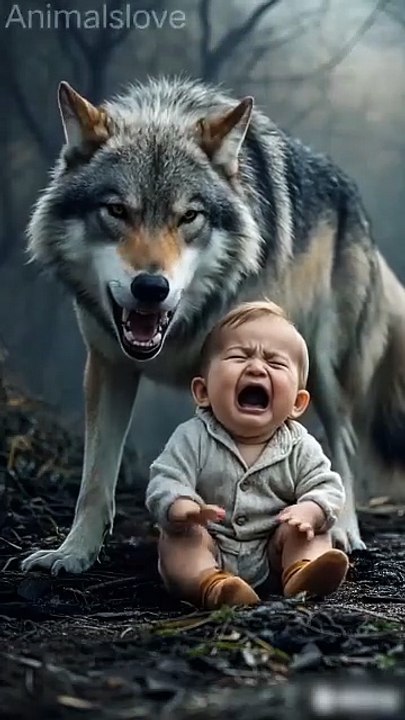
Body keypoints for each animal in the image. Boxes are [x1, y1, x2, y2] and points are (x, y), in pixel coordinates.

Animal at [21, 76, 405, 575]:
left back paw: (342, 530)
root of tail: (356, 203)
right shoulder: (108, 365)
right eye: (117, 211)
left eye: (189, 216)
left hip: (325, 368)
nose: (151, 287)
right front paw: (74, 553)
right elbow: (96, 478)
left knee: (341, 445)